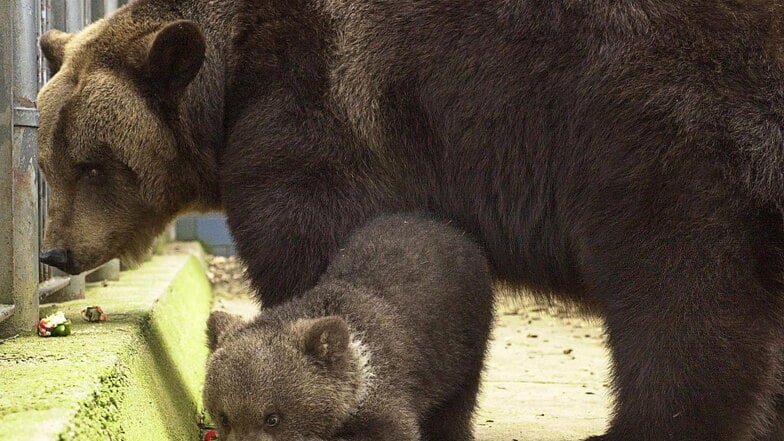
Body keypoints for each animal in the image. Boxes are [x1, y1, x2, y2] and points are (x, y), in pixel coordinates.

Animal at [38, 0, 784, 440]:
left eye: (94, 165)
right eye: (48, 159)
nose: (56, 254)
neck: (229, 83)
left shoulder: (308, 121)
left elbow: (315, 254)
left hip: (658, 130)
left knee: (681, 299)